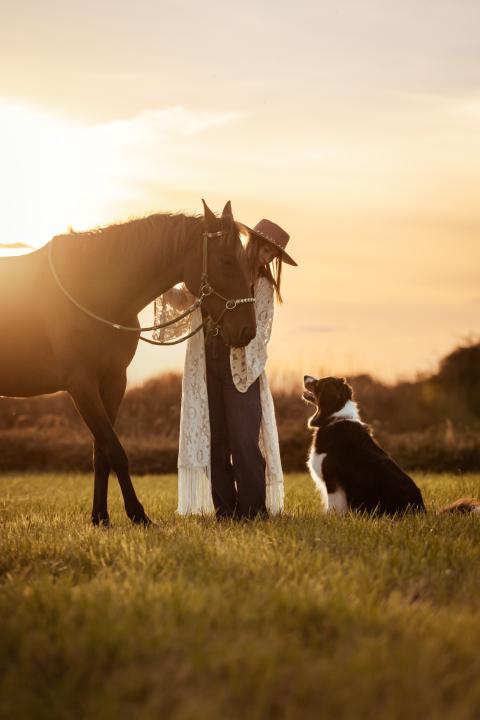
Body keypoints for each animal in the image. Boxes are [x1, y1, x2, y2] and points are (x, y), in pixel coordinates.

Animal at [0, 200, 255, 524]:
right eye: (225, 261)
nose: (248, 330)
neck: (94, 291)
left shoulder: (113, 380)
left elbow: (101, 452)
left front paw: (100, 517)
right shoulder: (81, 385)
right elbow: (116, 450)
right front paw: (137, 514)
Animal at [302, 374, 426, 516]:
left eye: (318, 383)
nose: (305, 376)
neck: (334, 418)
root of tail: (421, 509)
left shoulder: (332, 479)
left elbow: (333, 506)